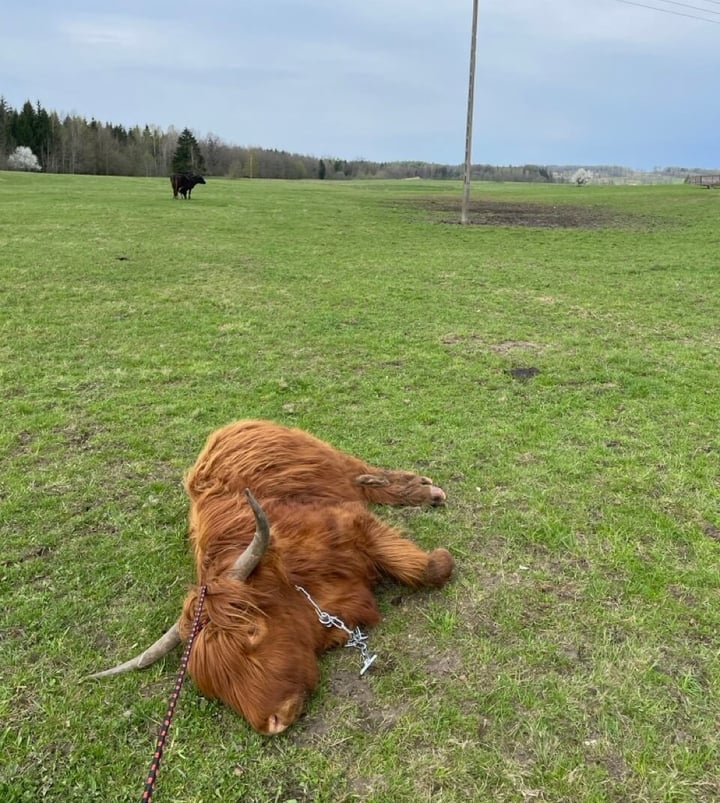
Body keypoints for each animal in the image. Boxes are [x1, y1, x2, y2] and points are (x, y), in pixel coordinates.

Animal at [87, 420, 454, 734]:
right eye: (214, 685)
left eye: (253, 632)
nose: (273, 722)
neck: (293, 577)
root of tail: (231, 427)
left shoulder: (352, 523)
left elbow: (431, 569)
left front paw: (440, 556)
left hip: (328, 460)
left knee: (365, 476)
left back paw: (426, 490)